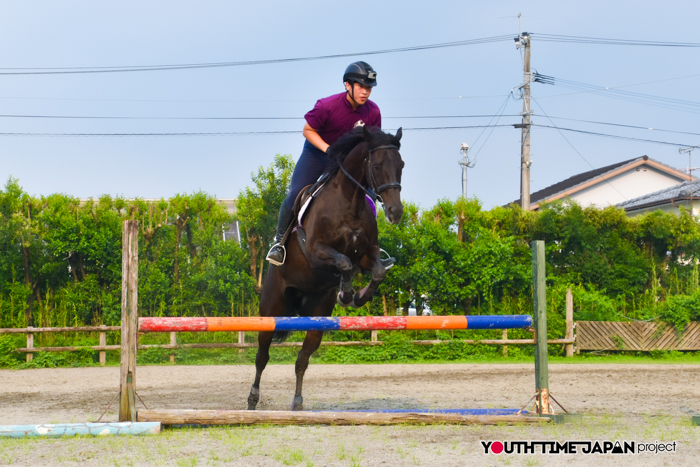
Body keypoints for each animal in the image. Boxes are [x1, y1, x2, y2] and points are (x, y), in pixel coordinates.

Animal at [247, 125, 404, 411]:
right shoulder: (315, 252)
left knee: (302, 360)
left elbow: (375, 271)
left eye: (401, 165)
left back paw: (297, 402)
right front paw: (347, 293)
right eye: (376, 166)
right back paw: (253, 399)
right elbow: (343, 262)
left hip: (317, 316)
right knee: (262, 357)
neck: (349, 202)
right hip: (271, 311)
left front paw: (357, 296)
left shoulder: (367, 254)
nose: (395, 212)